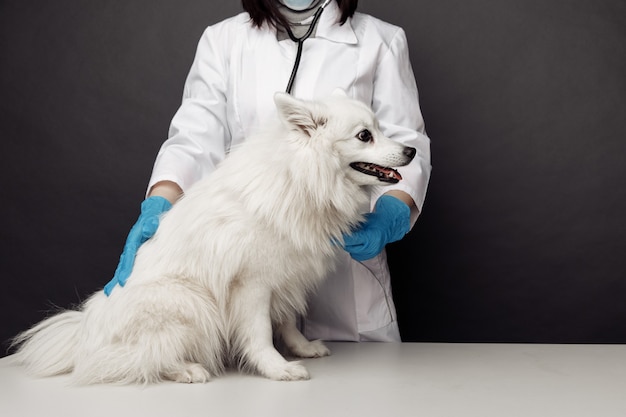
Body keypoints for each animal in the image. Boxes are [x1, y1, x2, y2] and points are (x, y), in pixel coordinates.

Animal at [9, 90, 414, 384]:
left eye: (381, 128)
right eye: (364, 135)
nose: (411, 149)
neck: (299, 179)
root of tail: (83, 336)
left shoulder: (284, 278)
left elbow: (285, 321)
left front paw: (301, 348)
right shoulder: (252, 285)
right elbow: (260, 333)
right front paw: (276, 368)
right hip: (190, 302)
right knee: (140, 359)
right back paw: (186, 370)